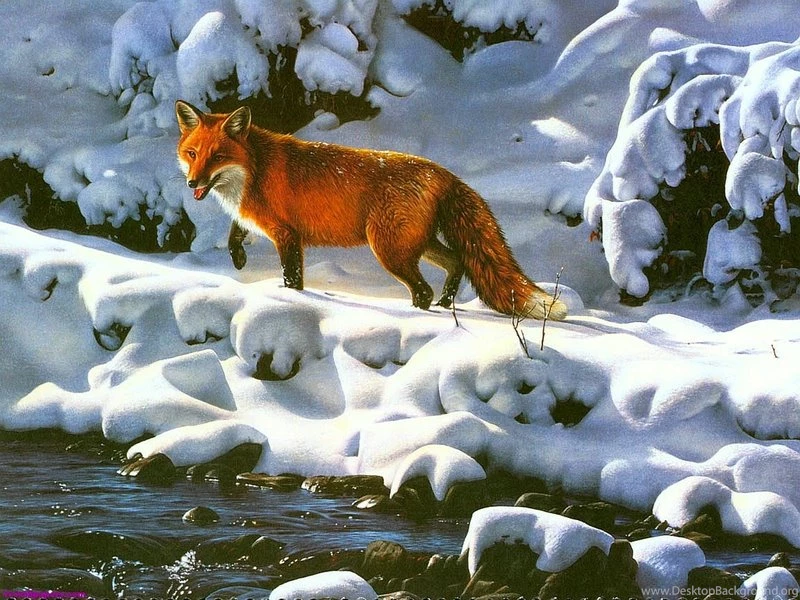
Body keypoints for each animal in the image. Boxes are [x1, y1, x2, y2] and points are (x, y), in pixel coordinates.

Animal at [175, 100, 567, 320]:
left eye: (217, 157)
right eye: (192, 154)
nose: (192, 184)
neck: (253, 169)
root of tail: (443, 171)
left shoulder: (287, 234)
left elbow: (292, 278)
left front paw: (292, 302)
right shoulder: (256, 221)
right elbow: (234, 234)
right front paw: (239, 260)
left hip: (389, 250)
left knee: (423, 289)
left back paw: (419, 314)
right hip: (416, 245)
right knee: (456, 261)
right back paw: (444, 305)